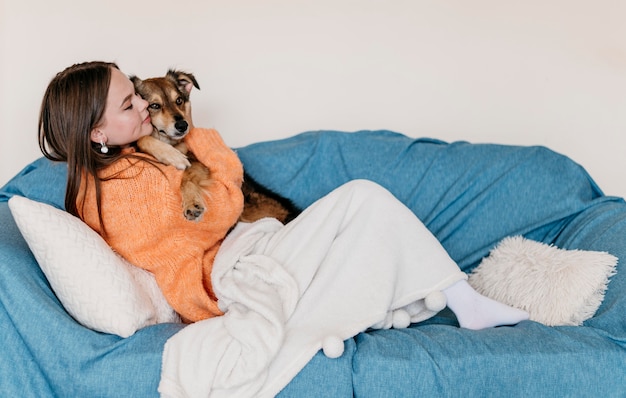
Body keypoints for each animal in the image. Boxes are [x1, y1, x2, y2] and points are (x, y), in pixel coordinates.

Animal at [130, 69, 298, 224]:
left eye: (178, 100)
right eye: (154, 105)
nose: (183, 125)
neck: (170, 142)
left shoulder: (200, 164)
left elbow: (186, 177)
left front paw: (192, 202)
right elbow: (142, 138)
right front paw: (171, 155)